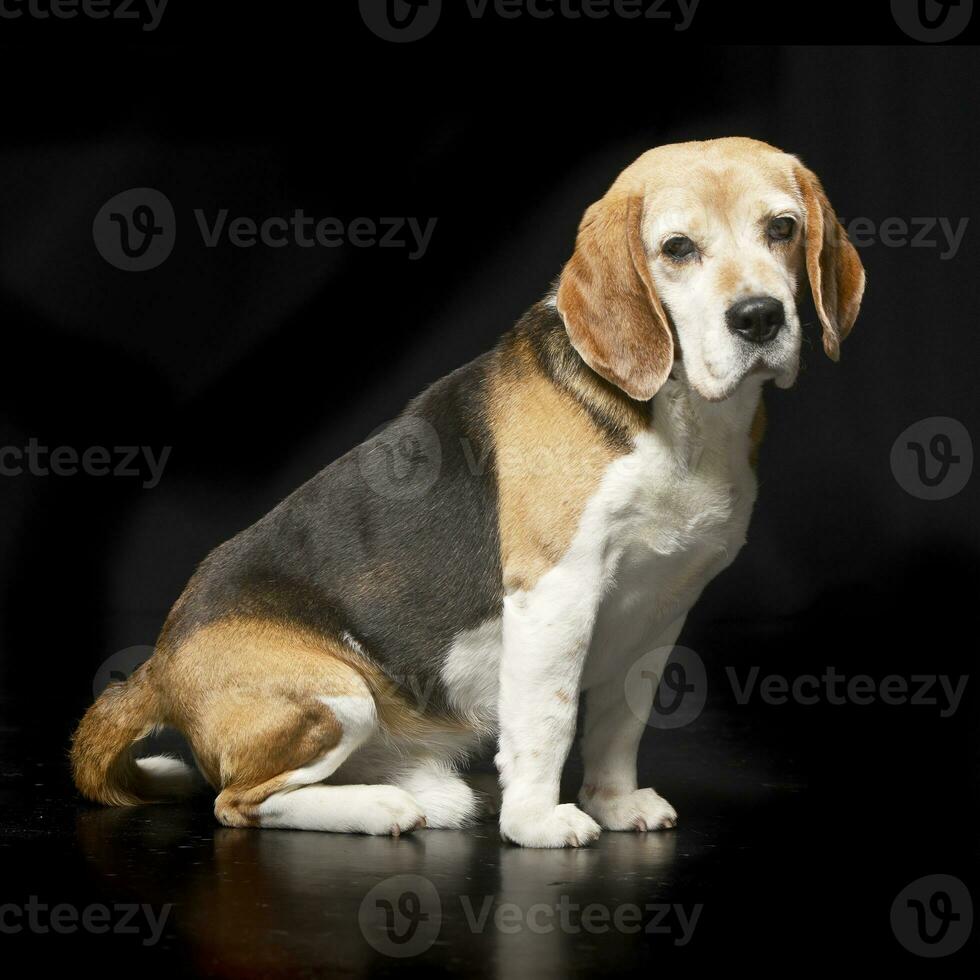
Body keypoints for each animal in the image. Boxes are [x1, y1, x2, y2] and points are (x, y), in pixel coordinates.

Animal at [71, 138, 864, 848]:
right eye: (677, 248)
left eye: (782, 228)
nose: (759, 317)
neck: (683, 420)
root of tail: (159, 663)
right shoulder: (556, 594)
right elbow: (550, 721)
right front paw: (538, 821)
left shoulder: (661, 607)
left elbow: (619, 721)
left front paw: (613, 803)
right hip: (334, 695)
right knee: (237, 803)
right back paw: (378, 809)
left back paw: (432, 796)